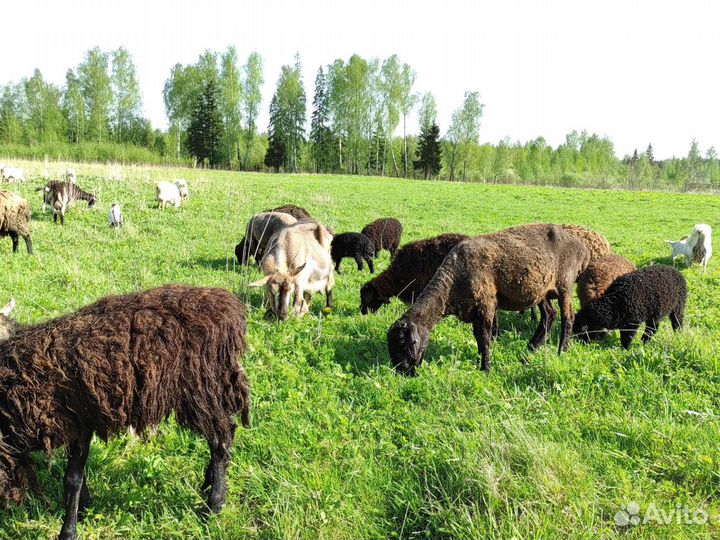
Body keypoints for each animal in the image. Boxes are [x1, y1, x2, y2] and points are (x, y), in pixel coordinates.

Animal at [0, 285, 251, 540]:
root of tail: (229, 305)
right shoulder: (75, 425)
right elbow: (76, 476)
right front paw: (84, 509)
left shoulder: (80, 422)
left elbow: (72, 479)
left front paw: (69, 530)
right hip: (211, 387)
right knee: (227, 429)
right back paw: (210, 484)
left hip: (200, 387)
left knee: (219, 442)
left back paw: (214, 506)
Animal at [387, 224, 590, 375]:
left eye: (403, 343)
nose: (403, 373)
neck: (453, 283)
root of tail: (583, 249)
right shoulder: (473, 311)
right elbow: (478, 337)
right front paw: (480, 361)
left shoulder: (487, 305)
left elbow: (485, 338)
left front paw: (485, 369)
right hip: (542, 291)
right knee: (549, 315)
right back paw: (531, 348)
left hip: (565, 285)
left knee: (567, 318)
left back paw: (561, 351)